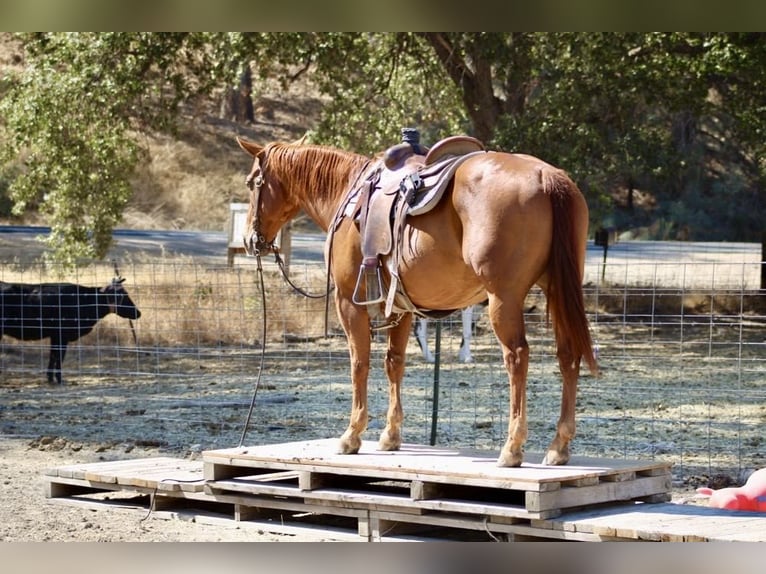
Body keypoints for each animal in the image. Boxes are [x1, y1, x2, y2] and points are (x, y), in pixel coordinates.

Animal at [0, 280, 141, 388]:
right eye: (123, 295)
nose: (138, 313)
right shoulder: (62, 335)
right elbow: (59, 357)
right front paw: (59, 379)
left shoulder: (55, 336)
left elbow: (53, 356)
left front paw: (50, 378)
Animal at [237, 135, 596, 468]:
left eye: (253, 182)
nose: (250, 240)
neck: (348, 194)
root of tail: (545, 176)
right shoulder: (401, 309)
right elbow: (394, 363)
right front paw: (390, 435)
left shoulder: (348, 302)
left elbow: (359, 363)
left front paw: (352, 435)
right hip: (558, 290)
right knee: (568, 355)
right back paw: (558, 447)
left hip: (503, 299)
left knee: (517, 357)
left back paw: (512, 448)